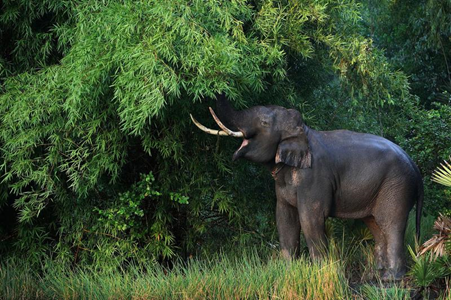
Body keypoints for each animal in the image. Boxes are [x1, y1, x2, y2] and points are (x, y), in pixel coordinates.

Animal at [191, 95, 424, 280]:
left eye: (264, 122)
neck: (303, 131)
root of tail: (415, 165)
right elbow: (284, 217)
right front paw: (287, 270)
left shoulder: (314, 177)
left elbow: (310, 219)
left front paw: (319, 272)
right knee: (375, 225)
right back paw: (377, 273)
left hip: (396, 187)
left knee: (391, 224)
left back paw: (390, 278)